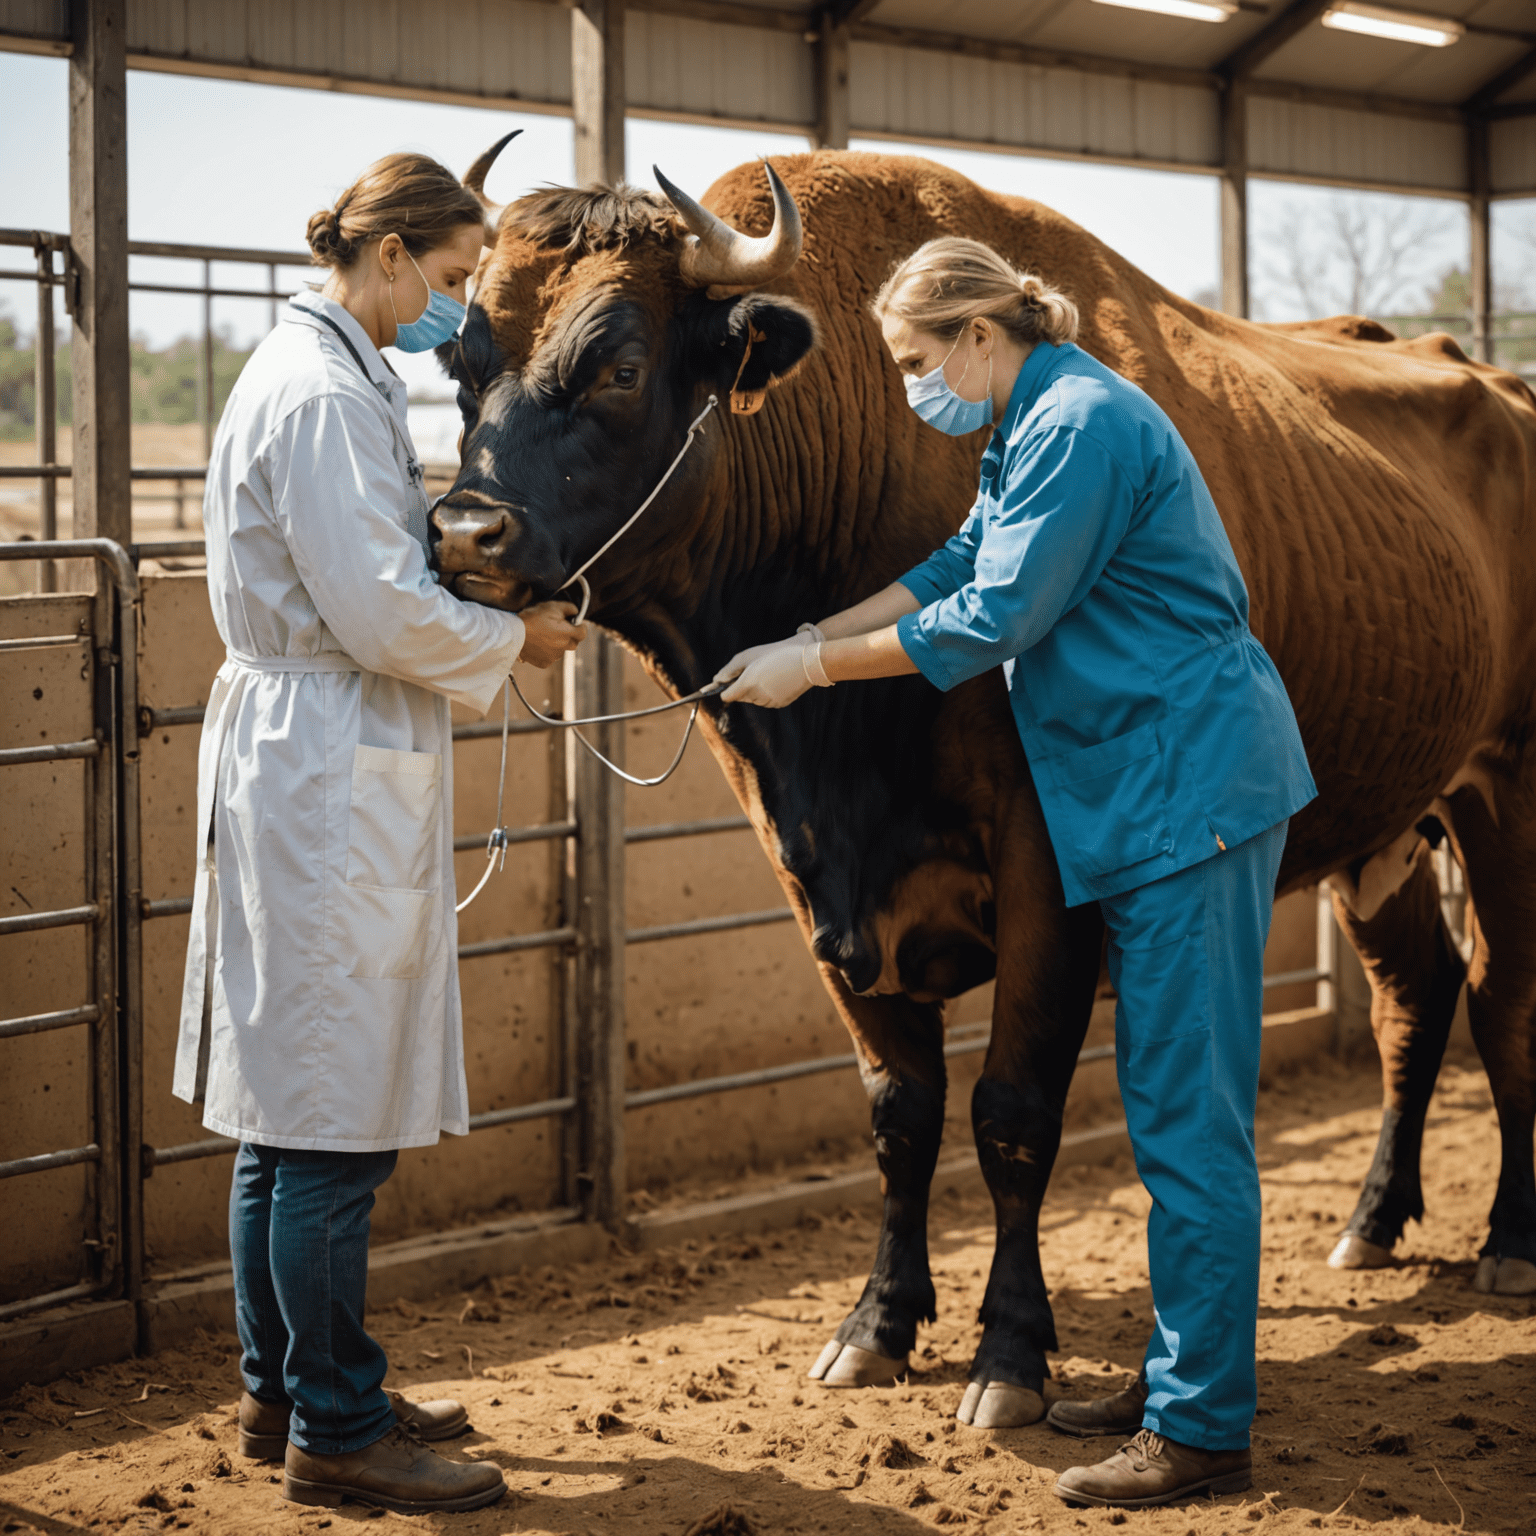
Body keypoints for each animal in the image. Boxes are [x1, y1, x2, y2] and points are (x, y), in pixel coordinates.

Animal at [427, 146, 1536, 1425]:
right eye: (462, 361)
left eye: (618, 364)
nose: (462, 532)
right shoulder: (815, 887)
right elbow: (901, 1113)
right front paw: (878, 1324)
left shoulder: (1046, 875)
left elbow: (1010, 1113)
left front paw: (1008, 1352)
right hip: (1387, 822)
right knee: (1420, 997)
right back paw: (1372, 1222)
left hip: (1509, 786)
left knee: (1502, 998)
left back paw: (1508, 1241)